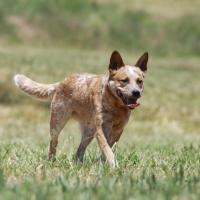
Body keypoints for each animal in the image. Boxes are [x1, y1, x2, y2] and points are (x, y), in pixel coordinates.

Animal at [13, 50, 148, 167]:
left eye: (139, 81)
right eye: (124, 80)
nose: (136, 93)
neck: (116, 106)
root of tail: (62, 82)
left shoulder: (118, 130)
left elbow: (108, 148)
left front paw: (102, 164)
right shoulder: (101, 129)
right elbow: (107, 149)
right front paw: (113, 166)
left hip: (89, 131)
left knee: (79, 150)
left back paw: (79, 164)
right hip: (57, 122)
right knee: (53, 143)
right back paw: (51, 161)